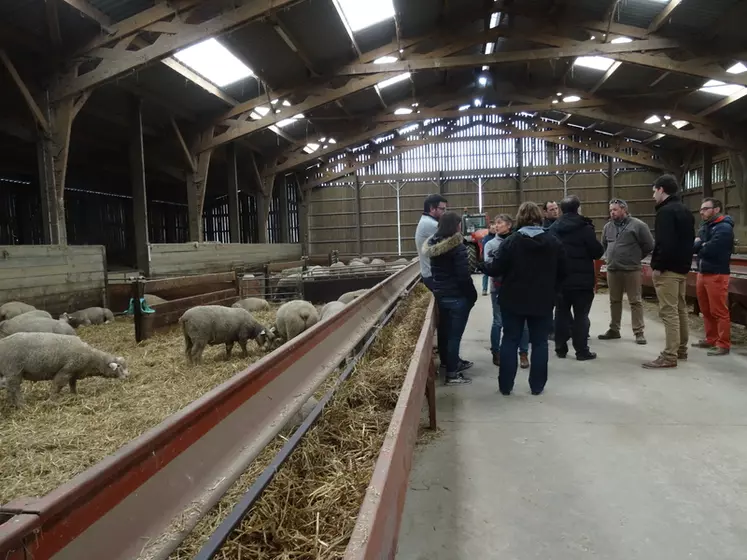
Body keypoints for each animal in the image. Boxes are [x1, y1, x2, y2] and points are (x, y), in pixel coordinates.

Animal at [0, 332, 129, 406]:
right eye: (119, 366)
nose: (128, 376)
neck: (92, 358)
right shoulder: (66, 371)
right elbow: (57, 386)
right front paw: (51, 400)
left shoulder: (73, 372)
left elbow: (73, 384)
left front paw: (74, 395)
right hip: (13, 370)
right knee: (14, 388)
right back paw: (23, 406)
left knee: (10, 388)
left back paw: (13, 404)